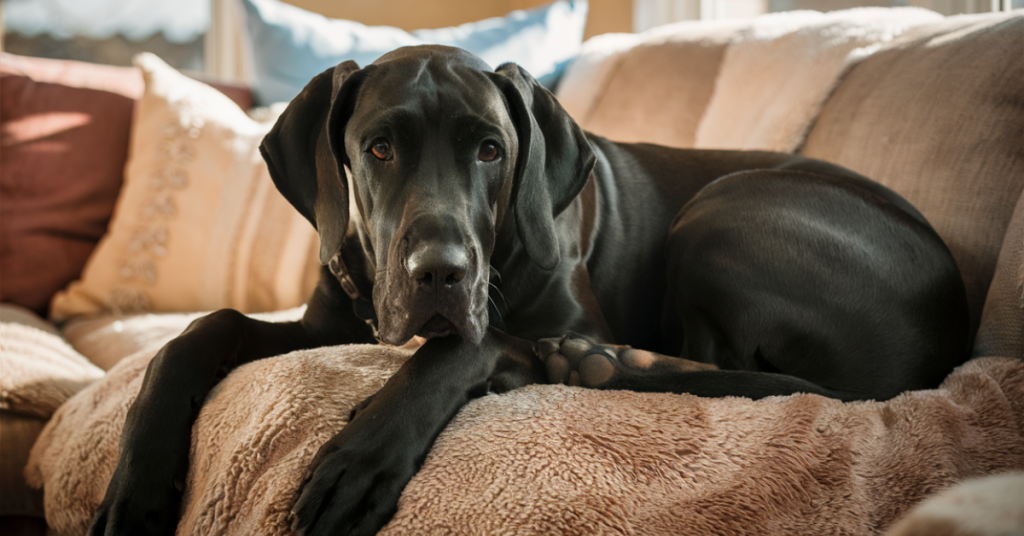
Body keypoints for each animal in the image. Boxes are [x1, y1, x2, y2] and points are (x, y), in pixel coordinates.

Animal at [90, 47, 966, 536]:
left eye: (490, 149)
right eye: (378, 148)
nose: (439, 272)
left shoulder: (546, 317)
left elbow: (460, 346)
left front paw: (364, 456)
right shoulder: (325, 325)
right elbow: (202, 330)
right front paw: (133, 489)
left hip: (723, 207)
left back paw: (602, 367)